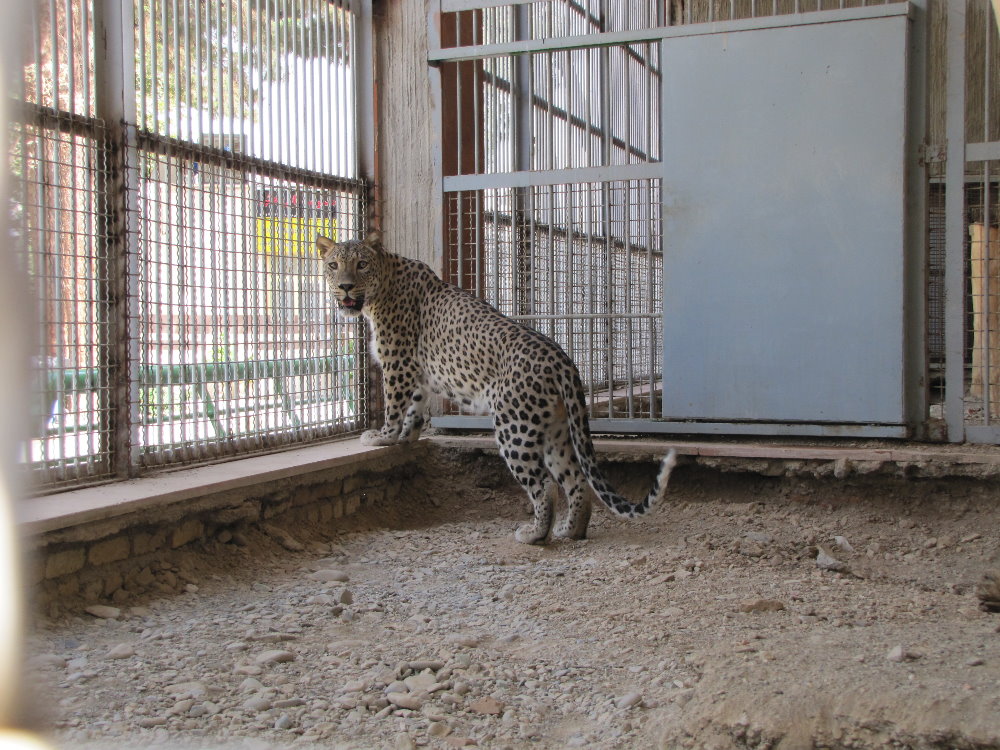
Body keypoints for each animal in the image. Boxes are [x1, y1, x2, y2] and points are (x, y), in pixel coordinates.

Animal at [317, 232, 677, 544]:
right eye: (334, 265)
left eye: (361, 264)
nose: (345, 286)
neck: (379, 290)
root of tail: (563, 361)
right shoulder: (417, 373)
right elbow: (415, 407)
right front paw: (406, 436)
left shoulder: (399, 364)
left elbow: (394, 404)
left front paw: (383, 436)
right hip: (556, 429)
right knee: (575, 479)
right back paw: (570, 530)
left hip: (514, 427)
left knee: (544, 484)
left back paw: (535, 534)